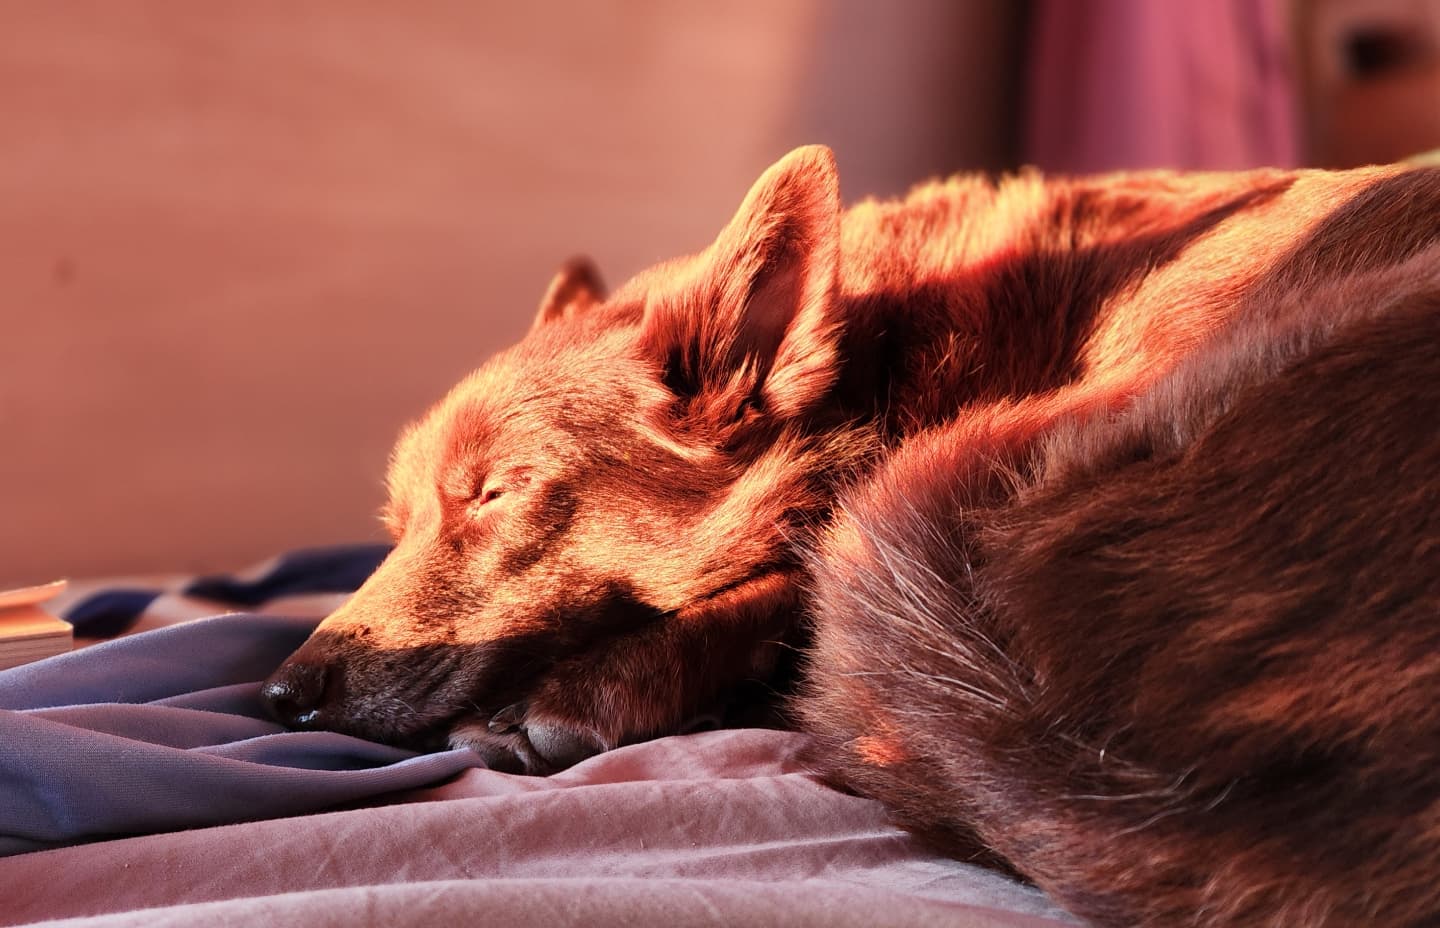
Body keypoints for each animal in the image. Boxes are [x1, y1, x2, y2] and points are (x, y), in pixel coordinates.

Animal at [263, 146, 1440, 927]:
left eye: (496, 494)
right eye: (396, 522)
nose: (281, 693)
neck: (901, 352)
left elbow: (792, 568)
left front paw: (589, 694)